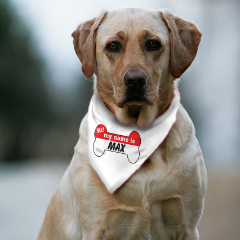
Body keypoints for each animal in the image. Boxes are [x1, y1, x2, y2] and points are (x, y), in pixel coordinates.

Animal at [38, 8, 207, 239]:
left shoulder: (187, 225)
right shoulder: (97, 227)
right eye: (113, 46)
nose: (135, 81)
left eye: (153, 44)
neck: (136, 131)